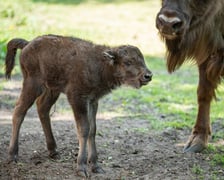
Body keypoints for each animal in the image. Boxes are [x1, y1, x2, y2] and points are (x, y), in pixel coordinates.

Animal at [5, 34, 152, 177]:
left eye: (142, 60)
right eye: (128, 62)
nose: (148, 75)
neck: (101, 64)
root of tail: (27, 44)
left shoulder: (93, 101)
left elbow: (93, 129)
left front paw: (96, 166)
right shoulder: (77, 100)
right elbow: (84, 129)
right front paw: (81, 168)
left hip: (52, 90)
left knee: (42, 108)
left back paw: (53, 151)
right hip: (33, 85)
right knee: (19, 111)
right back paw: (12, 155)